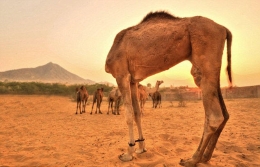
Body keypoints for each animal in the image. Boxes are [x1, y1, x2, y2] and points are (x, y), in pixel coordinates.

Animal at [104, 11, 233, 166]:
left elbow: (128, 115)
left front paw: (128, 153)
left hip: (204, 61)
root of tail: (224, 29)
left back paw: (192, 159)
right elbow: (137, 113)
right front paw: (141, 148)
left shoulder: (121, 74)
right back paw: (205, 157)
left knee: (214, 116)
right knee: (224, 114)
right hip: (211, 68)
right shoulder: (133, 81)